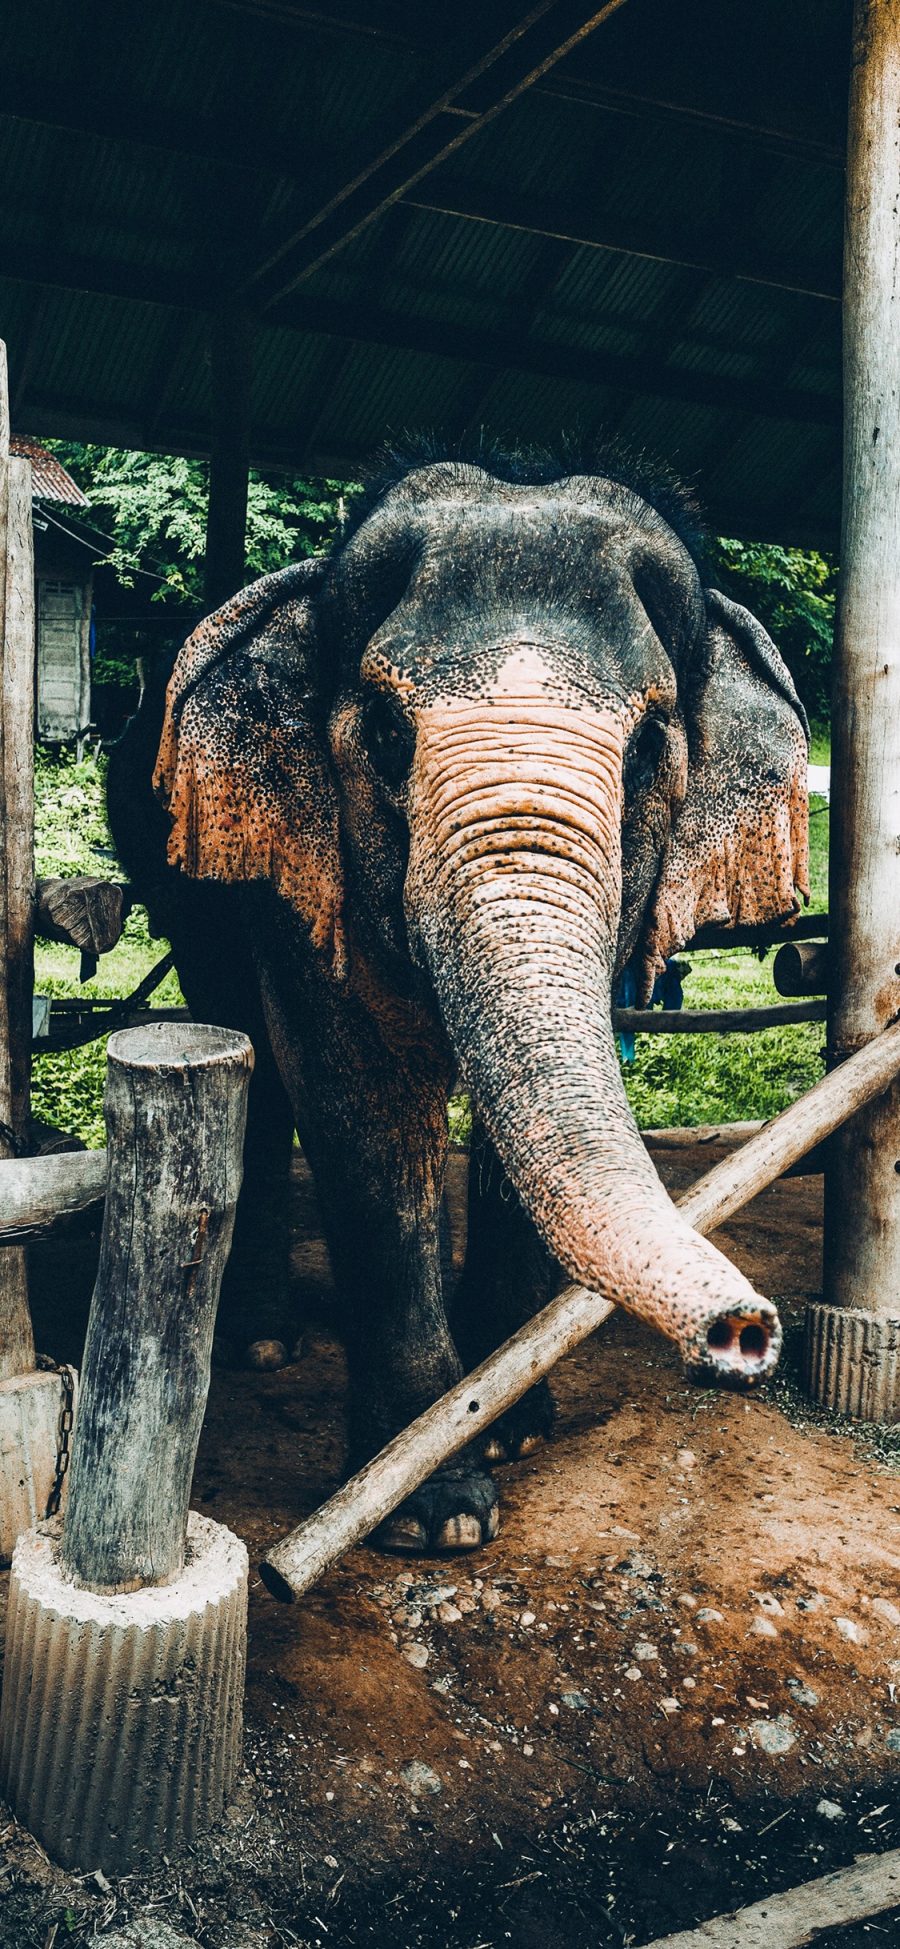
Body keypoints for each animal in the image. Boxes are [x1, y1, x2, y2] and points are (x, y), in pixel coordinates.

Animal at [105, 442, 810, 1551]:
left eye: (648, 748)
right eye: (391, 734)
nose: (746, 1333)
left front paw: (511, 1427)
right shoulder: (303, 871)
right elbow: (354, 1093)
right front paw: (434, 1513)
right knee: (240, 1041)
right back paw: (260, 1345)